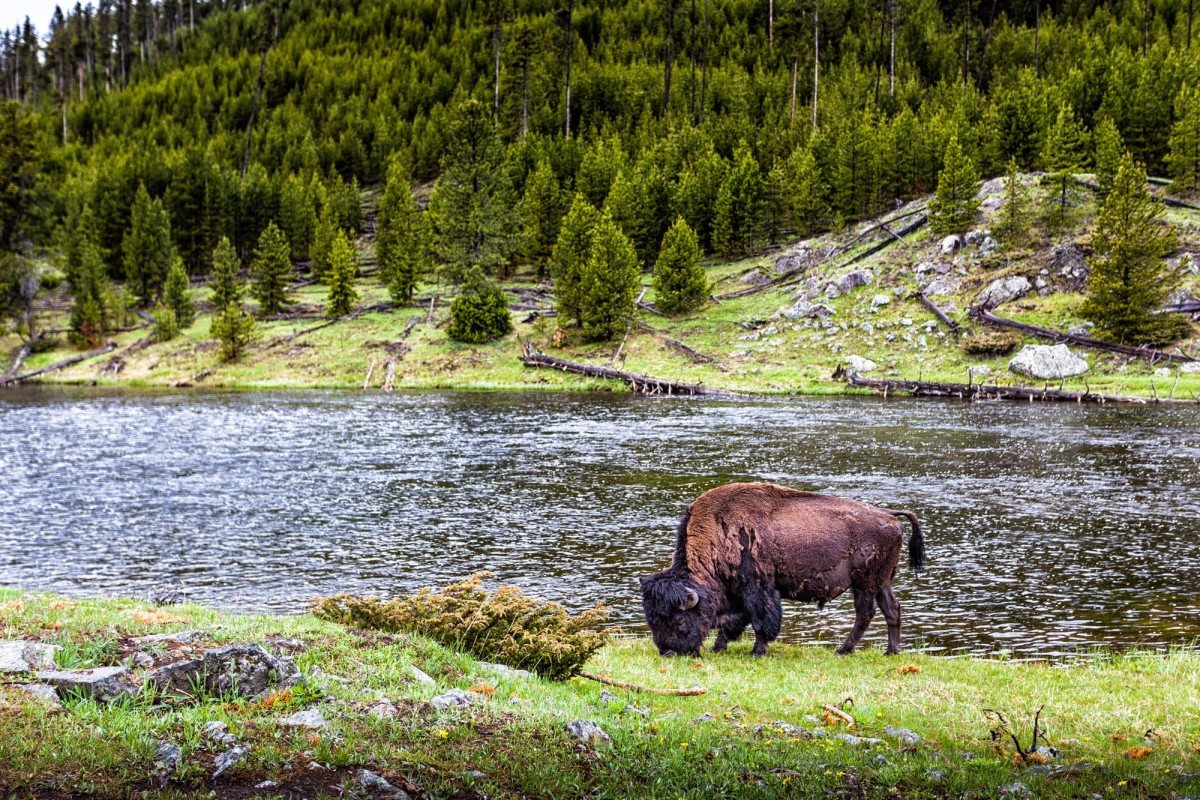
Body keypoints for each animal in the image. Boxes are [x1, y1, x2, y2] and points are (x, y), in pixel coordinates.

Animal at [643, 482, 921, 657]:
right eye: (652, 618)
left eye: (678, 618)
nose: (668, 652)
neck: (719, 532)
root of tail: (889, 515)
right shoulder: (737, 593)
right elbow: (732, 623)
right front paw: (718, 647)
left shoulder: (756, 588)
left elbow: (760, 620)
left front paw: (757, 652)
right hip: (882, 581)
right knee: (891, 610)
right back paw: (890, 652)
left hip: (864, 582)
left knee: (865, 613)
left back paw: (843, 651)